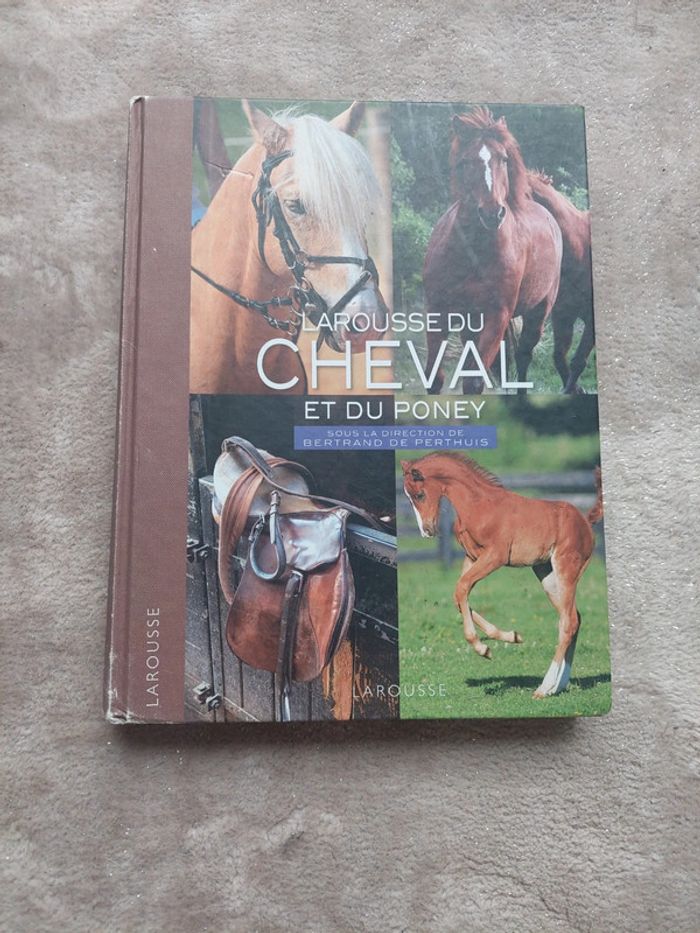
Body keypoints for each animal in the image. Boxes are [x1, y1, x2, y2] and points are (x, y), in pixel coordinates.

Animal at [401, 453, 603, 697]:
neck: (478, 505)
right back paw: (559, 685)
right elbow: (459, 595)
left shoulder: (495, 556)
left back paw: (544, 688)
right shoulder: (471, 557)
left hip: (567, 569)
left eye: (419, 494)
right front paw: (510, 637)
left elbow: (461, 588)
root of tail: (586, 522)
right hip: (547, 575)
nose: (427, 531)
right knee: (574, 618)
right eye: (408, 498)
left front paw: (481, 647)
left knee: (568, 622)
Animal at [423, 106, 562, 394]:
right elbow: (434, 377)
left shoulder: (496, 316)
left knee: (522, 357)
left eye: (504, 159)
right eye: (466, 161)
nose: (492, 213)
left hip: (538, 313)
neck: (471, 253)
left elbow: (474, 381)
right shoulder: (437, 311)